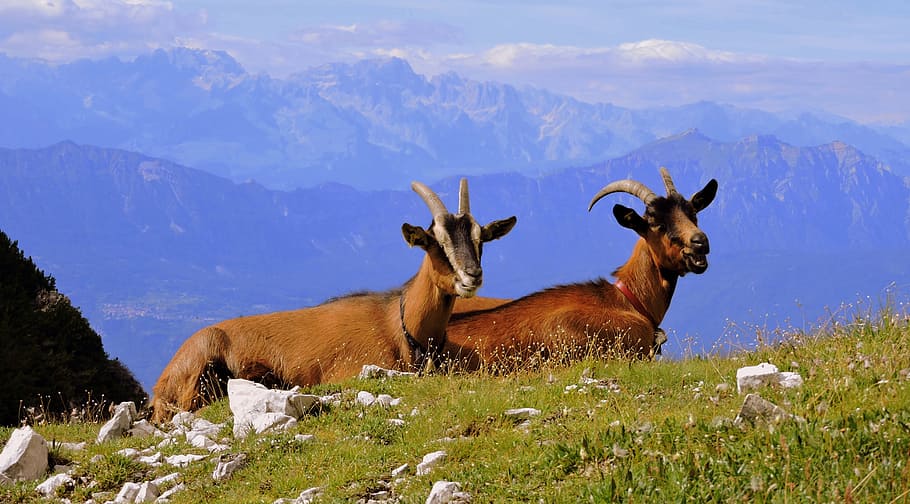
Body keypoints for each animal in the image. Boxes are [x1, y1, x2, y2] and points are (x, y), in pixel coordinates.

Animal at [150, 179, 516, 421]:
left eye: (481, 239)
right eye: (434, 242)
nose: (472, 276)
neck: (399, 324)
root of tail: (160, 384)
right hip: (203, 361)